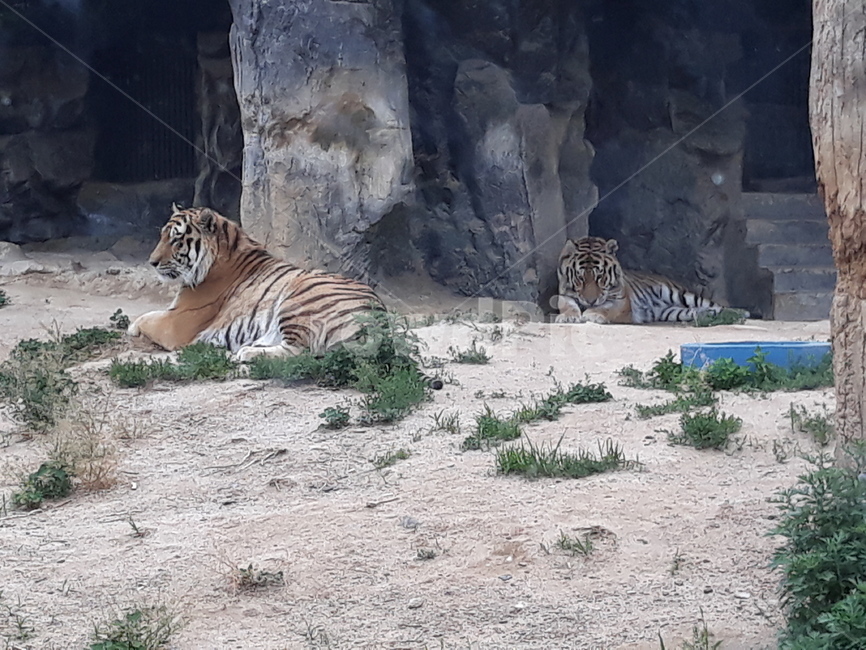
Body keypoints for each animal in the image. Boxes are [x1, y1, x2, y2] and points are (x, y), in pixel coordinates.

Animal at [128, 204, 390, 363]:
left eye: (176, 240)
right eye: (162, 236)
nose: (151, 262)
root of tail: (379, 312)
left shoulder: (177, 324)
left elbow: (147, 317)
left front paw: (131, 327)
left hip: (298, 298)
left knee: (302, 352)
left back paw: (246, 353)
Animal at [554, 236, 745, 324]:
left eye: (600, 276)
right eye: (580, 277)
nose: (590, 301)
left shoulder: (621, 301)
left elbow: (605, 308)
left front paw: (592, 314)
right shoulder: (564, 295)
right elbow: (568, 305)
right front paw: (567, 317)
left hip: (680, 294)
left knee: (716, 306)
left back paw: (739, 314)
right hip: (672, 312)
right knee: (695, 311)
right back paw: (705, 315)